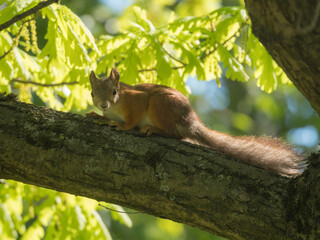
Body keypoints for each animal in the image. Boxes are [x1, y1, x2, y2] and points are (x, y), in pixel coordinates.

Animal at [86, 68, 306, 177]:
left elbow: (132, 119)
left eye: (114, 91)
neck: (116, 106)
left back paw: (153, 129)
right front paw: (99, 116)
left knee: (176, 134)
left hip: (160, 103)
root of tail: (190, 121)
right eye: (92, 93)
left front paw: (122, 126)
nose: (104, 105)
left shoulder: (137, 99)